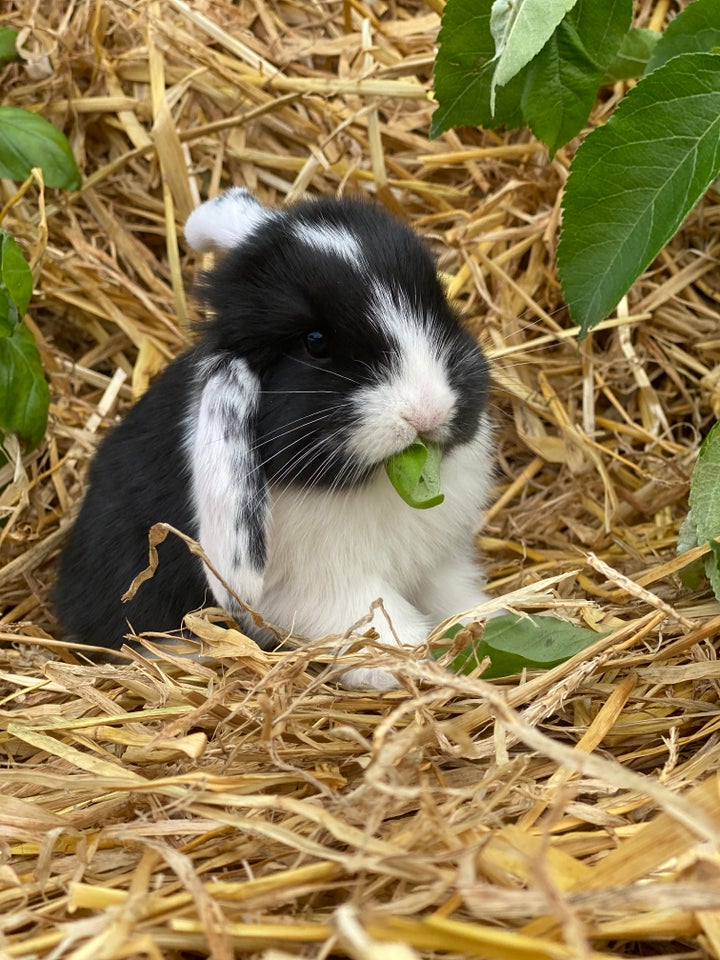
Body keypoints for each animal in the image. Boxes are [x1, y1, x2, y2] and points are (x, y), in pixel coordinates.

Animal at [54, 188, 496, 688]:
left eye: (437, 301)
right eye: (315, 341)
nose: (428, 409)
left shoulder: (439, 566)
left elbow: (456, 599)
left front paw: (488, 622)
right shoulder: (328, 589)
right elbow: (379, 625)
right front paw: (411, 666)